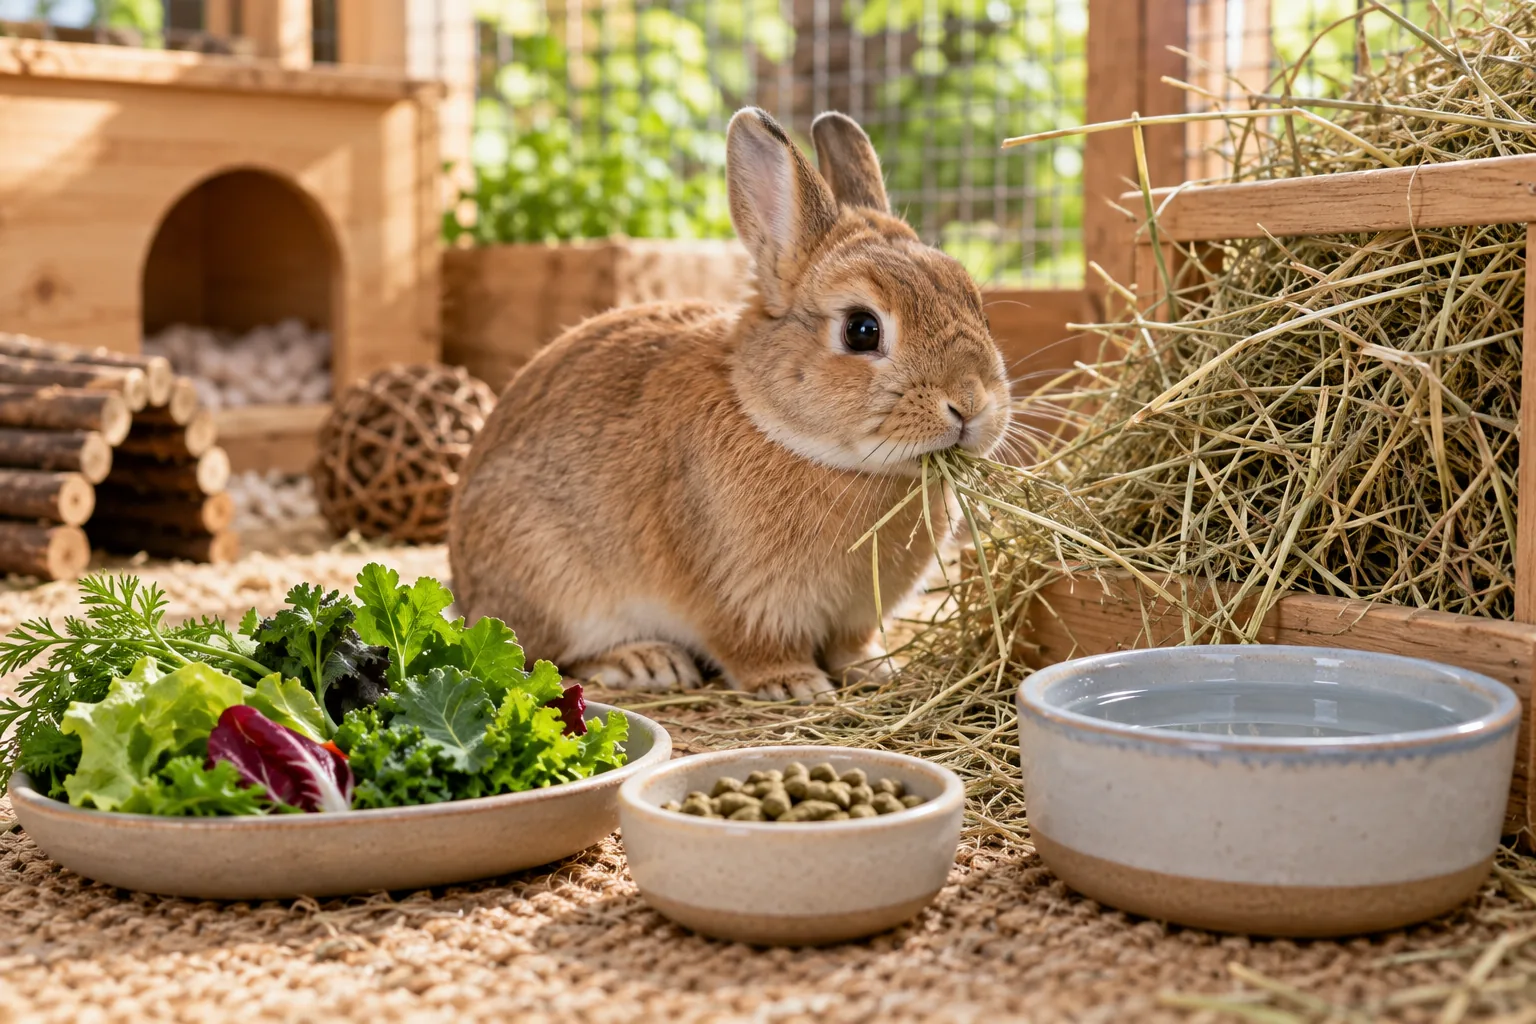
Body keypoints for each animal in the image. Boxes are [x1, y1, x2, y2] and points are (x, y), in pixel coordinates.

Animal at [448, 107, 1011, 702]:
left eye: (976, 304)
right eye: (862, 330)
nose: (970, 404)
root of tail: (467, 587)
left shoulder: (853, 617)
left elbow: (851, 646)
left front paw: (878, 669)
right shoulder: (737, 599)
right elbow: (751, 647)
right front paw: (796, 685)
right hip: (556, 582)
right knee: (546, 653)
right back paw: (646, 662)